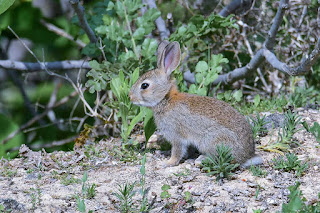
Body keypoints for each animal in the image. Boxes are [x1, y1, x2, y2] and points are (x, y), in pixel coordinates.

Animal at [129, 40, 262, 167]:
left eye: (144, 85)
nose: (130, 97)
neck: (166, 99)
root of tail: (246, 157)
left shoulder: (176, 135)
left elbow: (177, 151)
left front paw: (168, 163)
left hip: (212, 140)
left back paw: (201, 160)